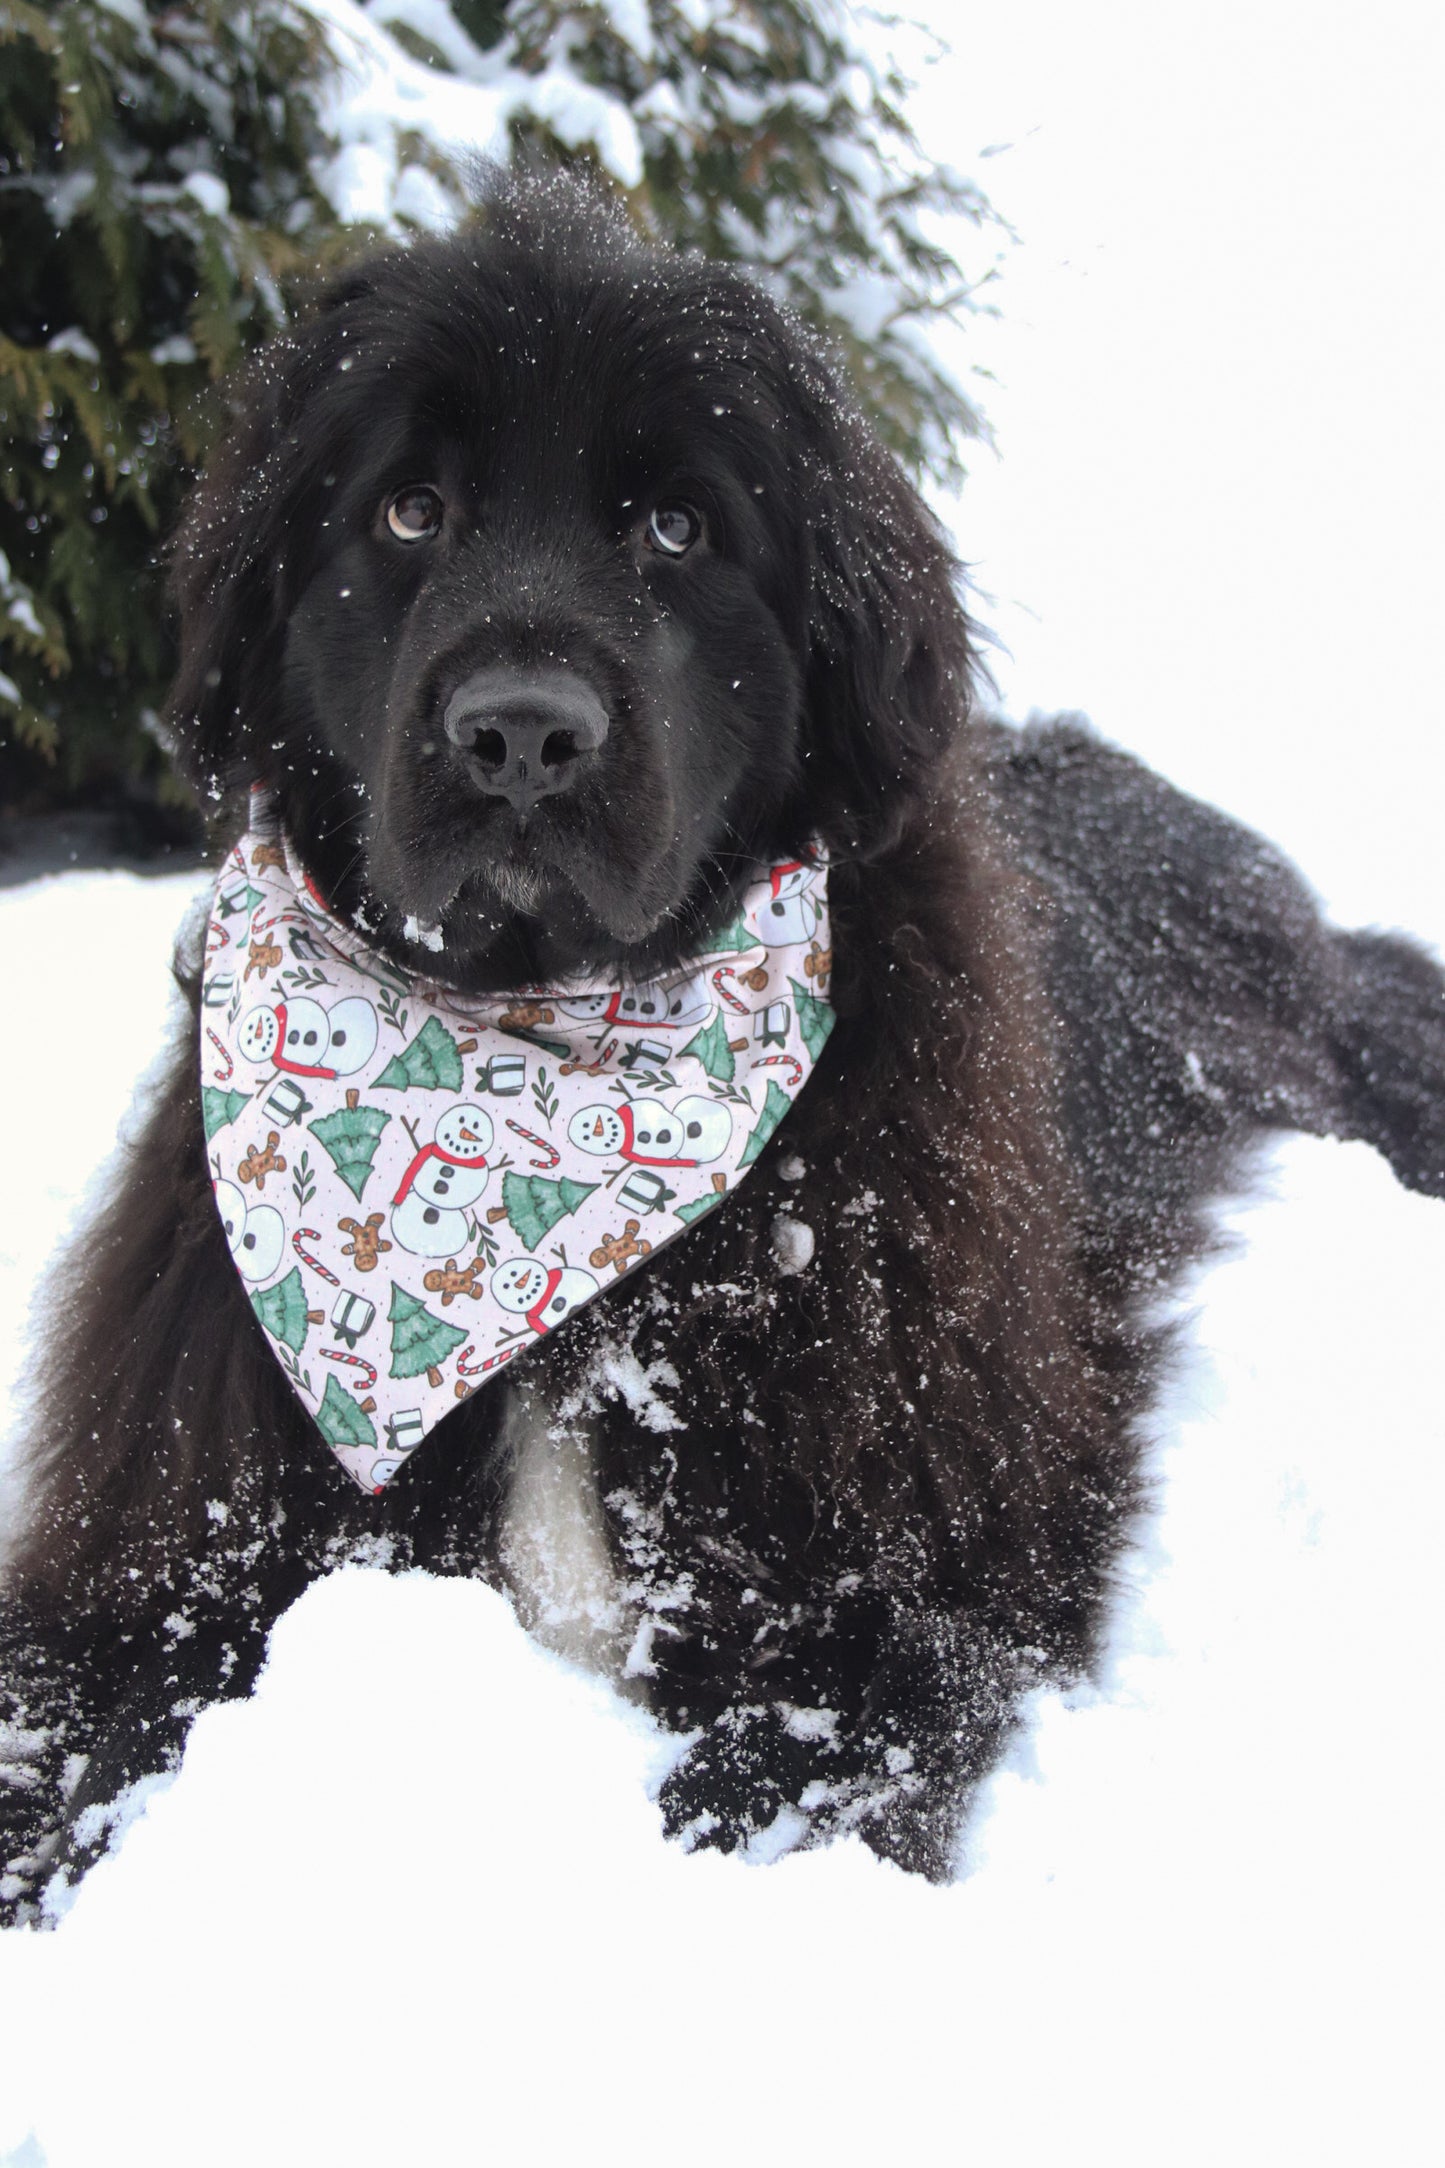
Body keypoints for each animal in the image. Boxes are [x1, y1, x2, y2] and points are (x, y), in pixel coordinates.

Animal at [2, 169, 1445, 1916]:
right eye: (410, 510)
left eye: (678, 528)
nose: (522, 734)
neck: (531, 1061)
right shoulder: (162, 1552)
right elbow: (83, 1721)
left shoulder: (890, 1578)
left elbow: (794, 1766)